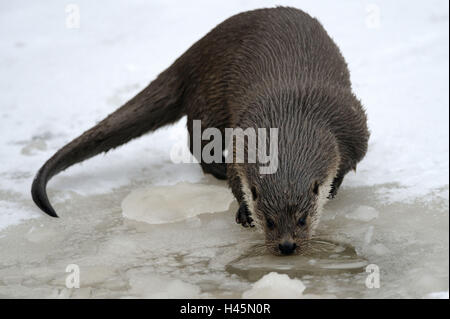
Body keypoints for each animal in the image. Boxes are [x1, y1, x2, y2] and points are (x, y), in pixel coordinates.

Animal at [31, 7, 370, 256]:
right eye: (270, 221)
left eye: (302, 218)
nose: (287, 246)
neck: (292, 111)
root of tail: (193, 53)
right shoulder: (242, 135)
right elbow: (235, 176)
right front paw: (243, 211)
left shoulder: (353, 125)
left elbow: (349, 161)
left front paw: (334, 187)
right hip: (211, 96)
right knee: (199, 138)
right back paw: (216, 168)